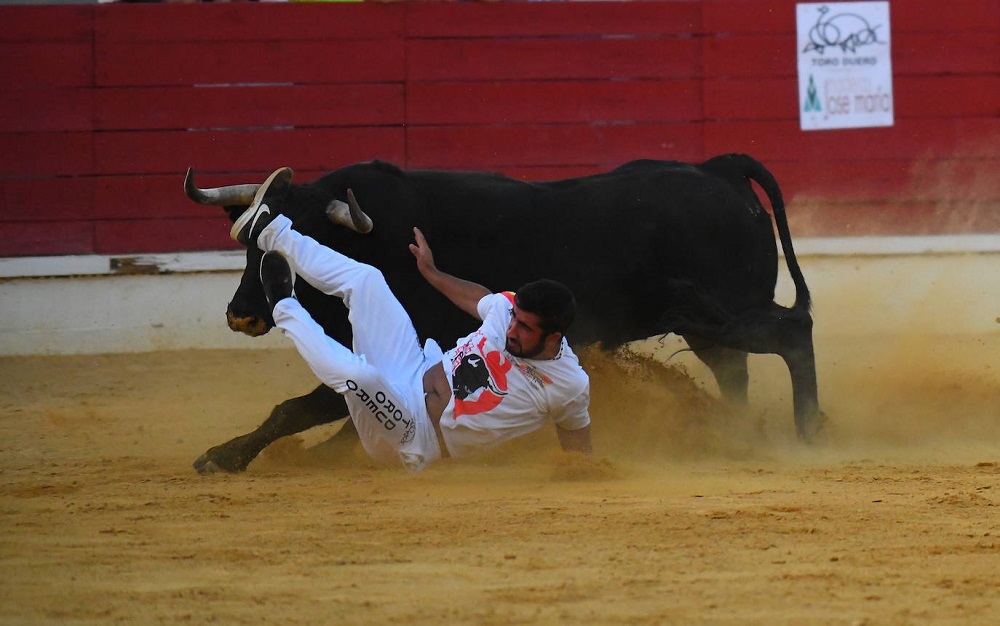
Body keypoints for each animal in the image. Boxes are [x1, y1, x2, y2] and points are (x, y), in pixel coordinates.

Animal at [184, 154, 824, 470]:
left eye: (298, 240)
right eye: (246, 241)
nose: (242, 314)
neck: (378, 239)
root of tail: (718, 170)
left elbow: (302, 406)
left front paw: (224, 456)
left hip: (726, 310)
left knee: (793, 331)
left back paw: (810, 430)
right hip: (708, 323)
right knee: (735, 370)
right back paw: (735, 431)